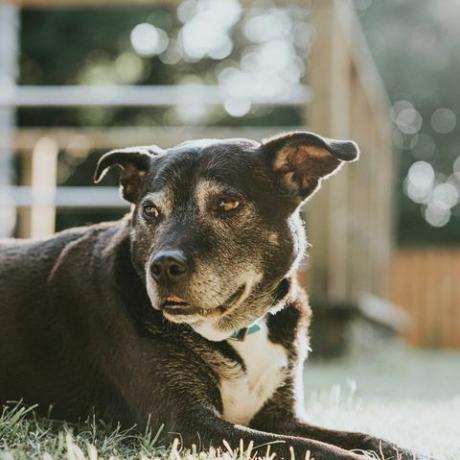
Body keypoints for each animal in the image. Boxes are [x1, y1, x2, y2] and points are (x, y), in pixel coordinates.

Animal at [0, 131, 424, 458]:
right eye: (150, 211)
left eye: (228, 204)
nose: (163, 267)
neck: (237, 327)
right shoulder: (187, 424)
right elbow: (312, 448)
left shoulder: (281, 417)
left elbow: (369, 437)